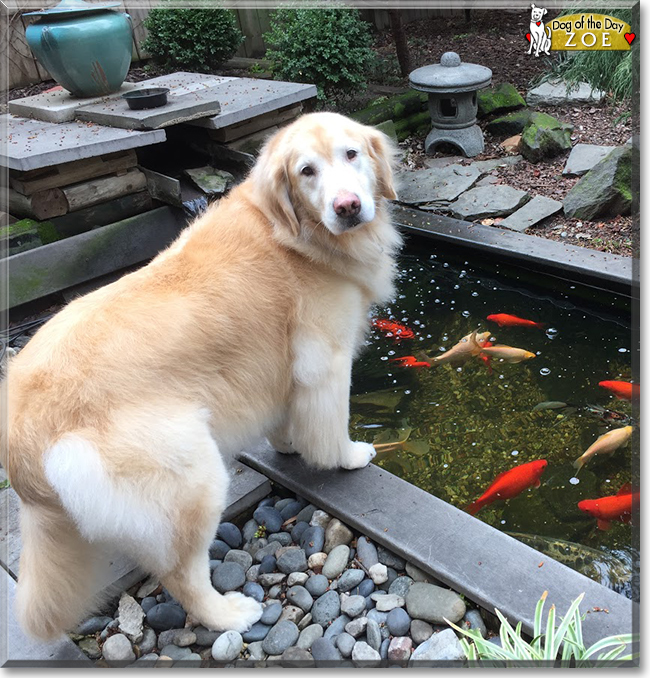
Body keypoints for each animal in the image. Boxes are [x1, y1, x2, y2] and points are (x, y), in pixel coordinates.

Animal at [1, 111, 400, 644]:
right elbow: (330, 427)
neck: (294, 233)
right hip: (192, 479)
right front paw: (348, 456)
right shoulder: (326, 362)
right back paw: (231, 614)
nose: (348, 207)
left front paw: (288, 445)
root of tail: (21, 441)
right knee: (180, 576)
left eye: (351, 154)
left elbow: (283, 417)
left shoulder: (277, 368)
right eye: (306, 171)